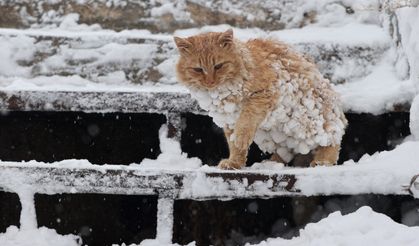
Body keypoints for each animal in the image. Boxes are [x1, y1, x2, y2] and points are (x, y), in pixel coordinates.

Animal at [174, 28, 348, 169]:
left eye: (218, 66)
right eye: (198, 69)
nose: (210, 82)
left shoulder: (262, 96)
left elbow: (246, 123)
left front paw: (241, 139)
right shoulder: (230, 120)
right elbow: (234, 146)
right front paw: (235, 163)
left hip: (311, 122)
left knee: (333, 140)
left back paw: (323, 161)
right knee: (288, 151)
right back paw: (272, 163)